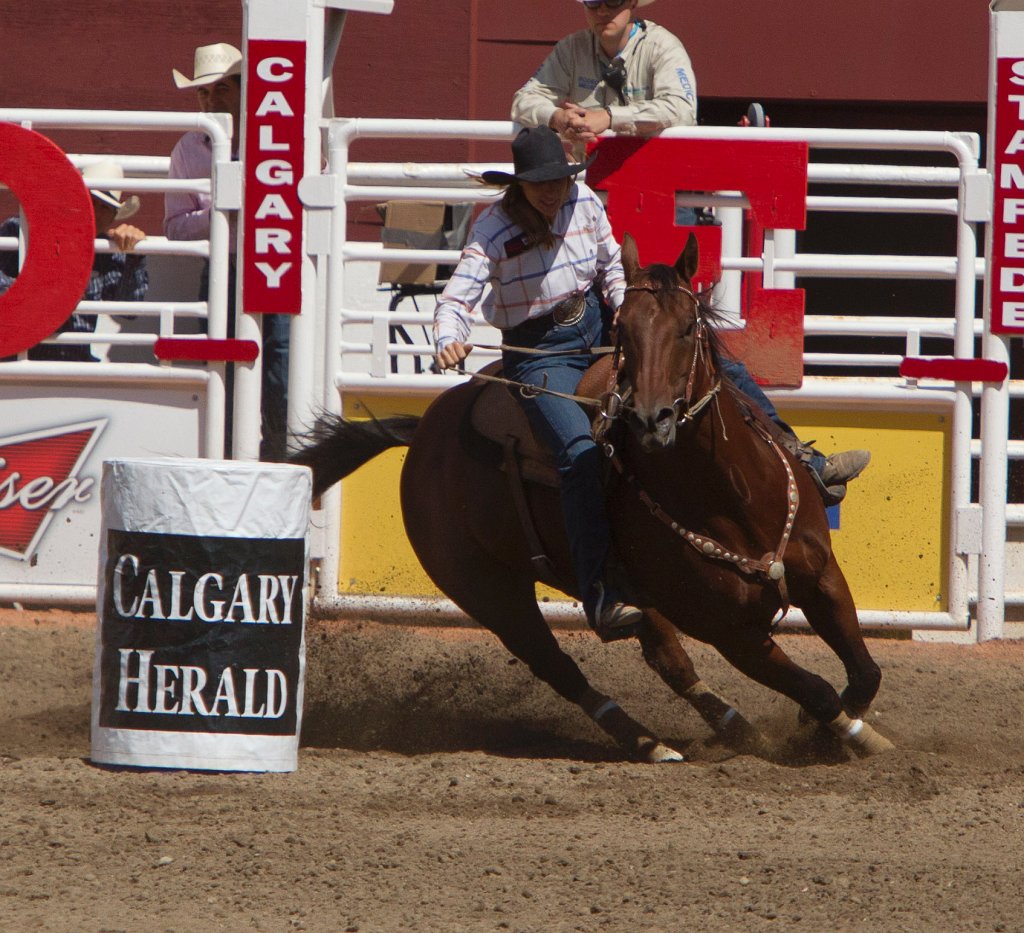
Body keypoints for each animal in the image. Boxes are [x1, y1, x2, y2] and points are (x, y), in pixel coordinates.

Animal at [292, 231, 892, 757]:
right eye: (624, 330)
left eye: (687, 327)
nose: (652, 419)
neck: (734, 497)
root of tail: (424, 432)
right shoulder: (728, 629)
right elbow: (816, 688)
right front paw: (841, 734)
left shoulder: (821, 576)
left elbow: (864, 671)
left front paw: (829, 728)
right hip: (488, 592)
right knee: (558, 667)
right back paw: (647, 743)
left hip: (628, 595)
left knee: (666, 659)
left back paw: (735, 729)